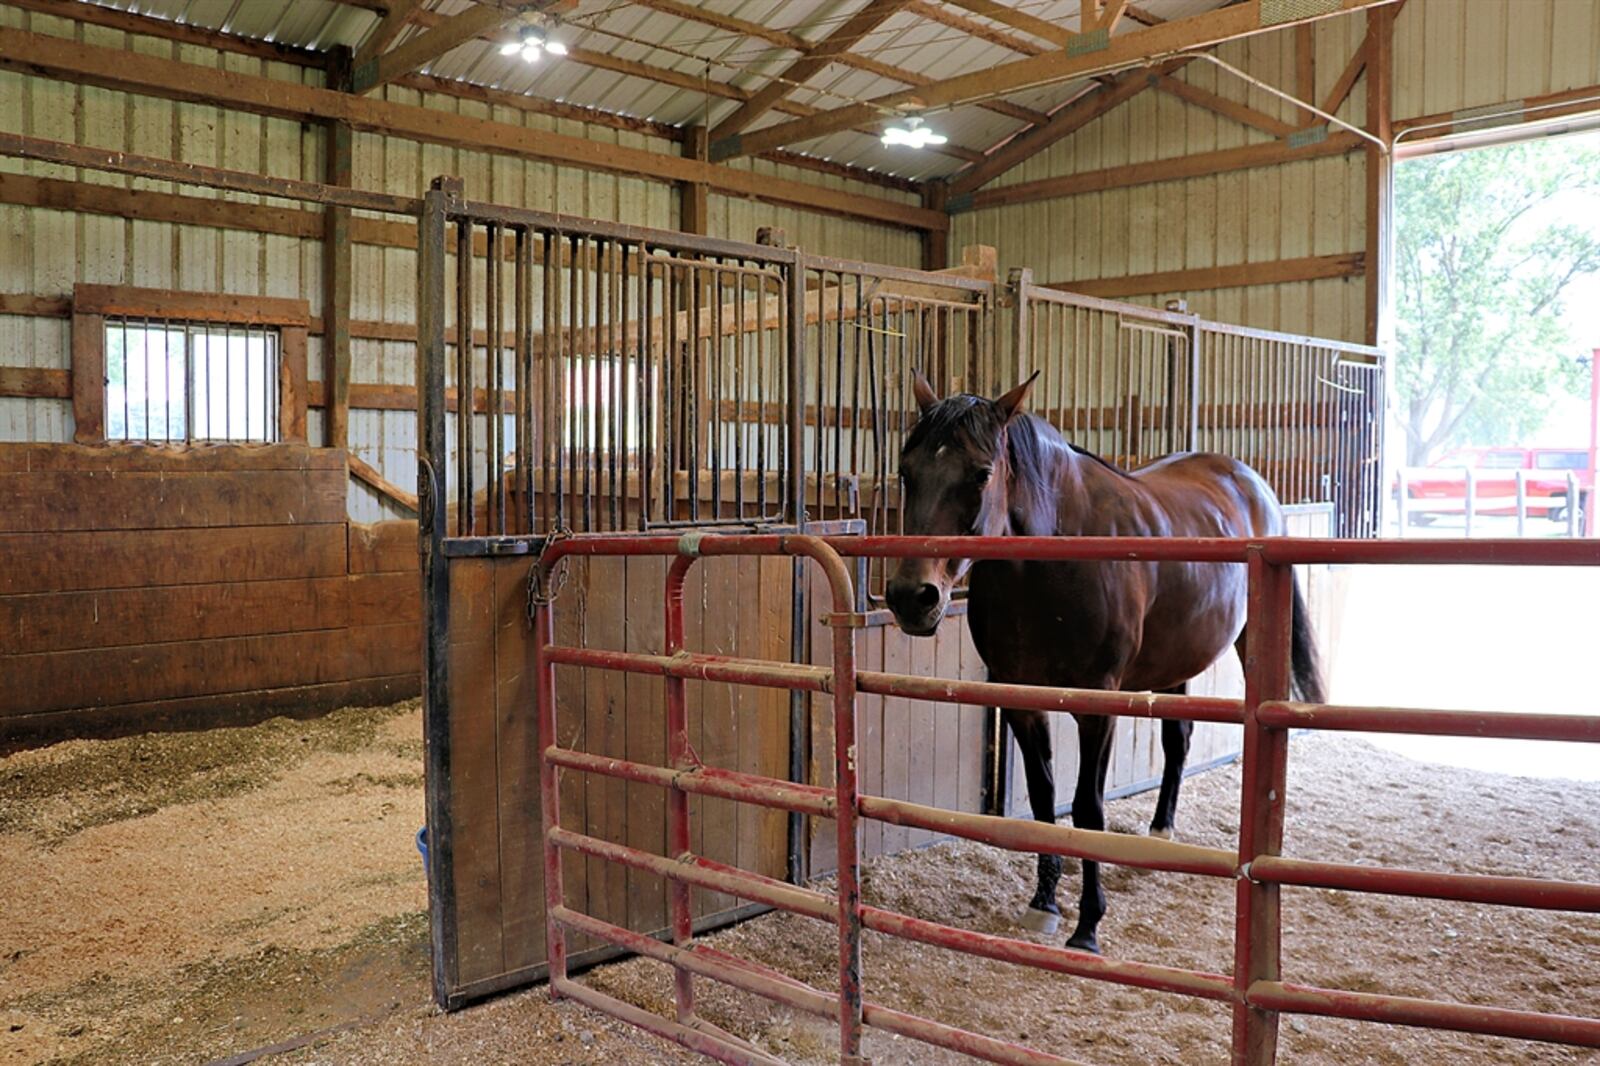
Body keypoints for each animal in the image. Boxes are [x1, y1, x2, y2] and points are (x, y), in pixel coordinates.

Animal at [883, 369, 1318, 947]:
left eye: (980, 474)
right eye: (906, 471)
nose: (912, 598)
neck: (1050, 564)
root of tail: (1250, 481)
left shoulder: (1097, 706)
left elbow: (1088, 808)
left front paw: (1087, 925)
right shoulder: (1022, 701)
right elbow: (1043, 799)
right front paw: (1044, 903)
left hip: (1249, 646)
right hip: (1174, 662)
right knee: (1178, 741)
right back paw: (1160, 832)